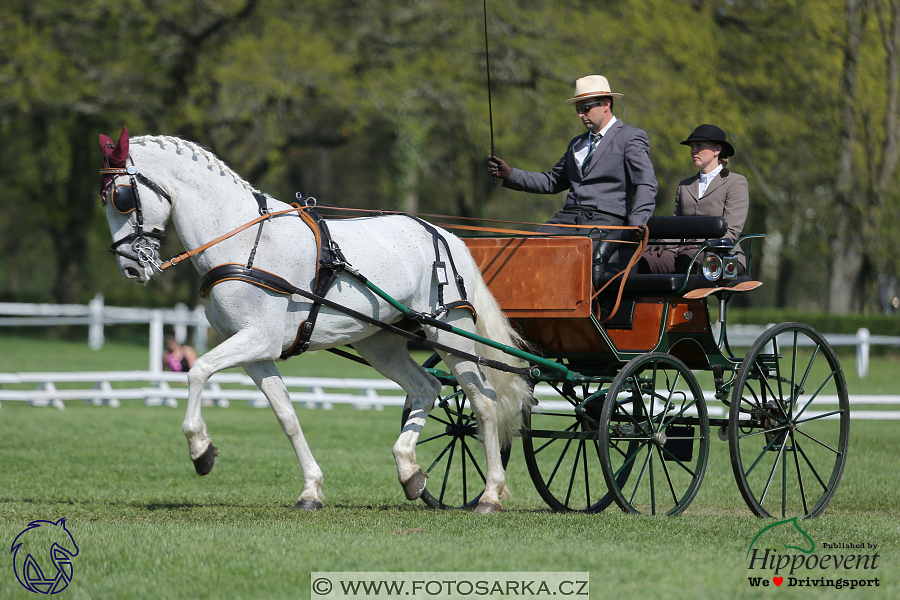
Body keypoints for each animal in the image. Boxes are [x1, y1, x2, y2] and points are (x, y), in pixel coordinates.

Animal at [100, 126, 528, 510]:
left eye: (120, 197)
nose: (130, 268)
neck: (241, 242)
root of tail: (445, 234)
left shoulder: (258, 339)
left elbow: (197, 370)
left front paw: (200, 450)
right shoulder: (257, 353)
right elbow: (287, 416)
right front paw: (311, 489)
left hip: (452, 333)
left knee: (482, 402)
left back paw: (490, 494)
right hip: (379, 342)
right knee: (426, 387)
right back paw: (410, 472)